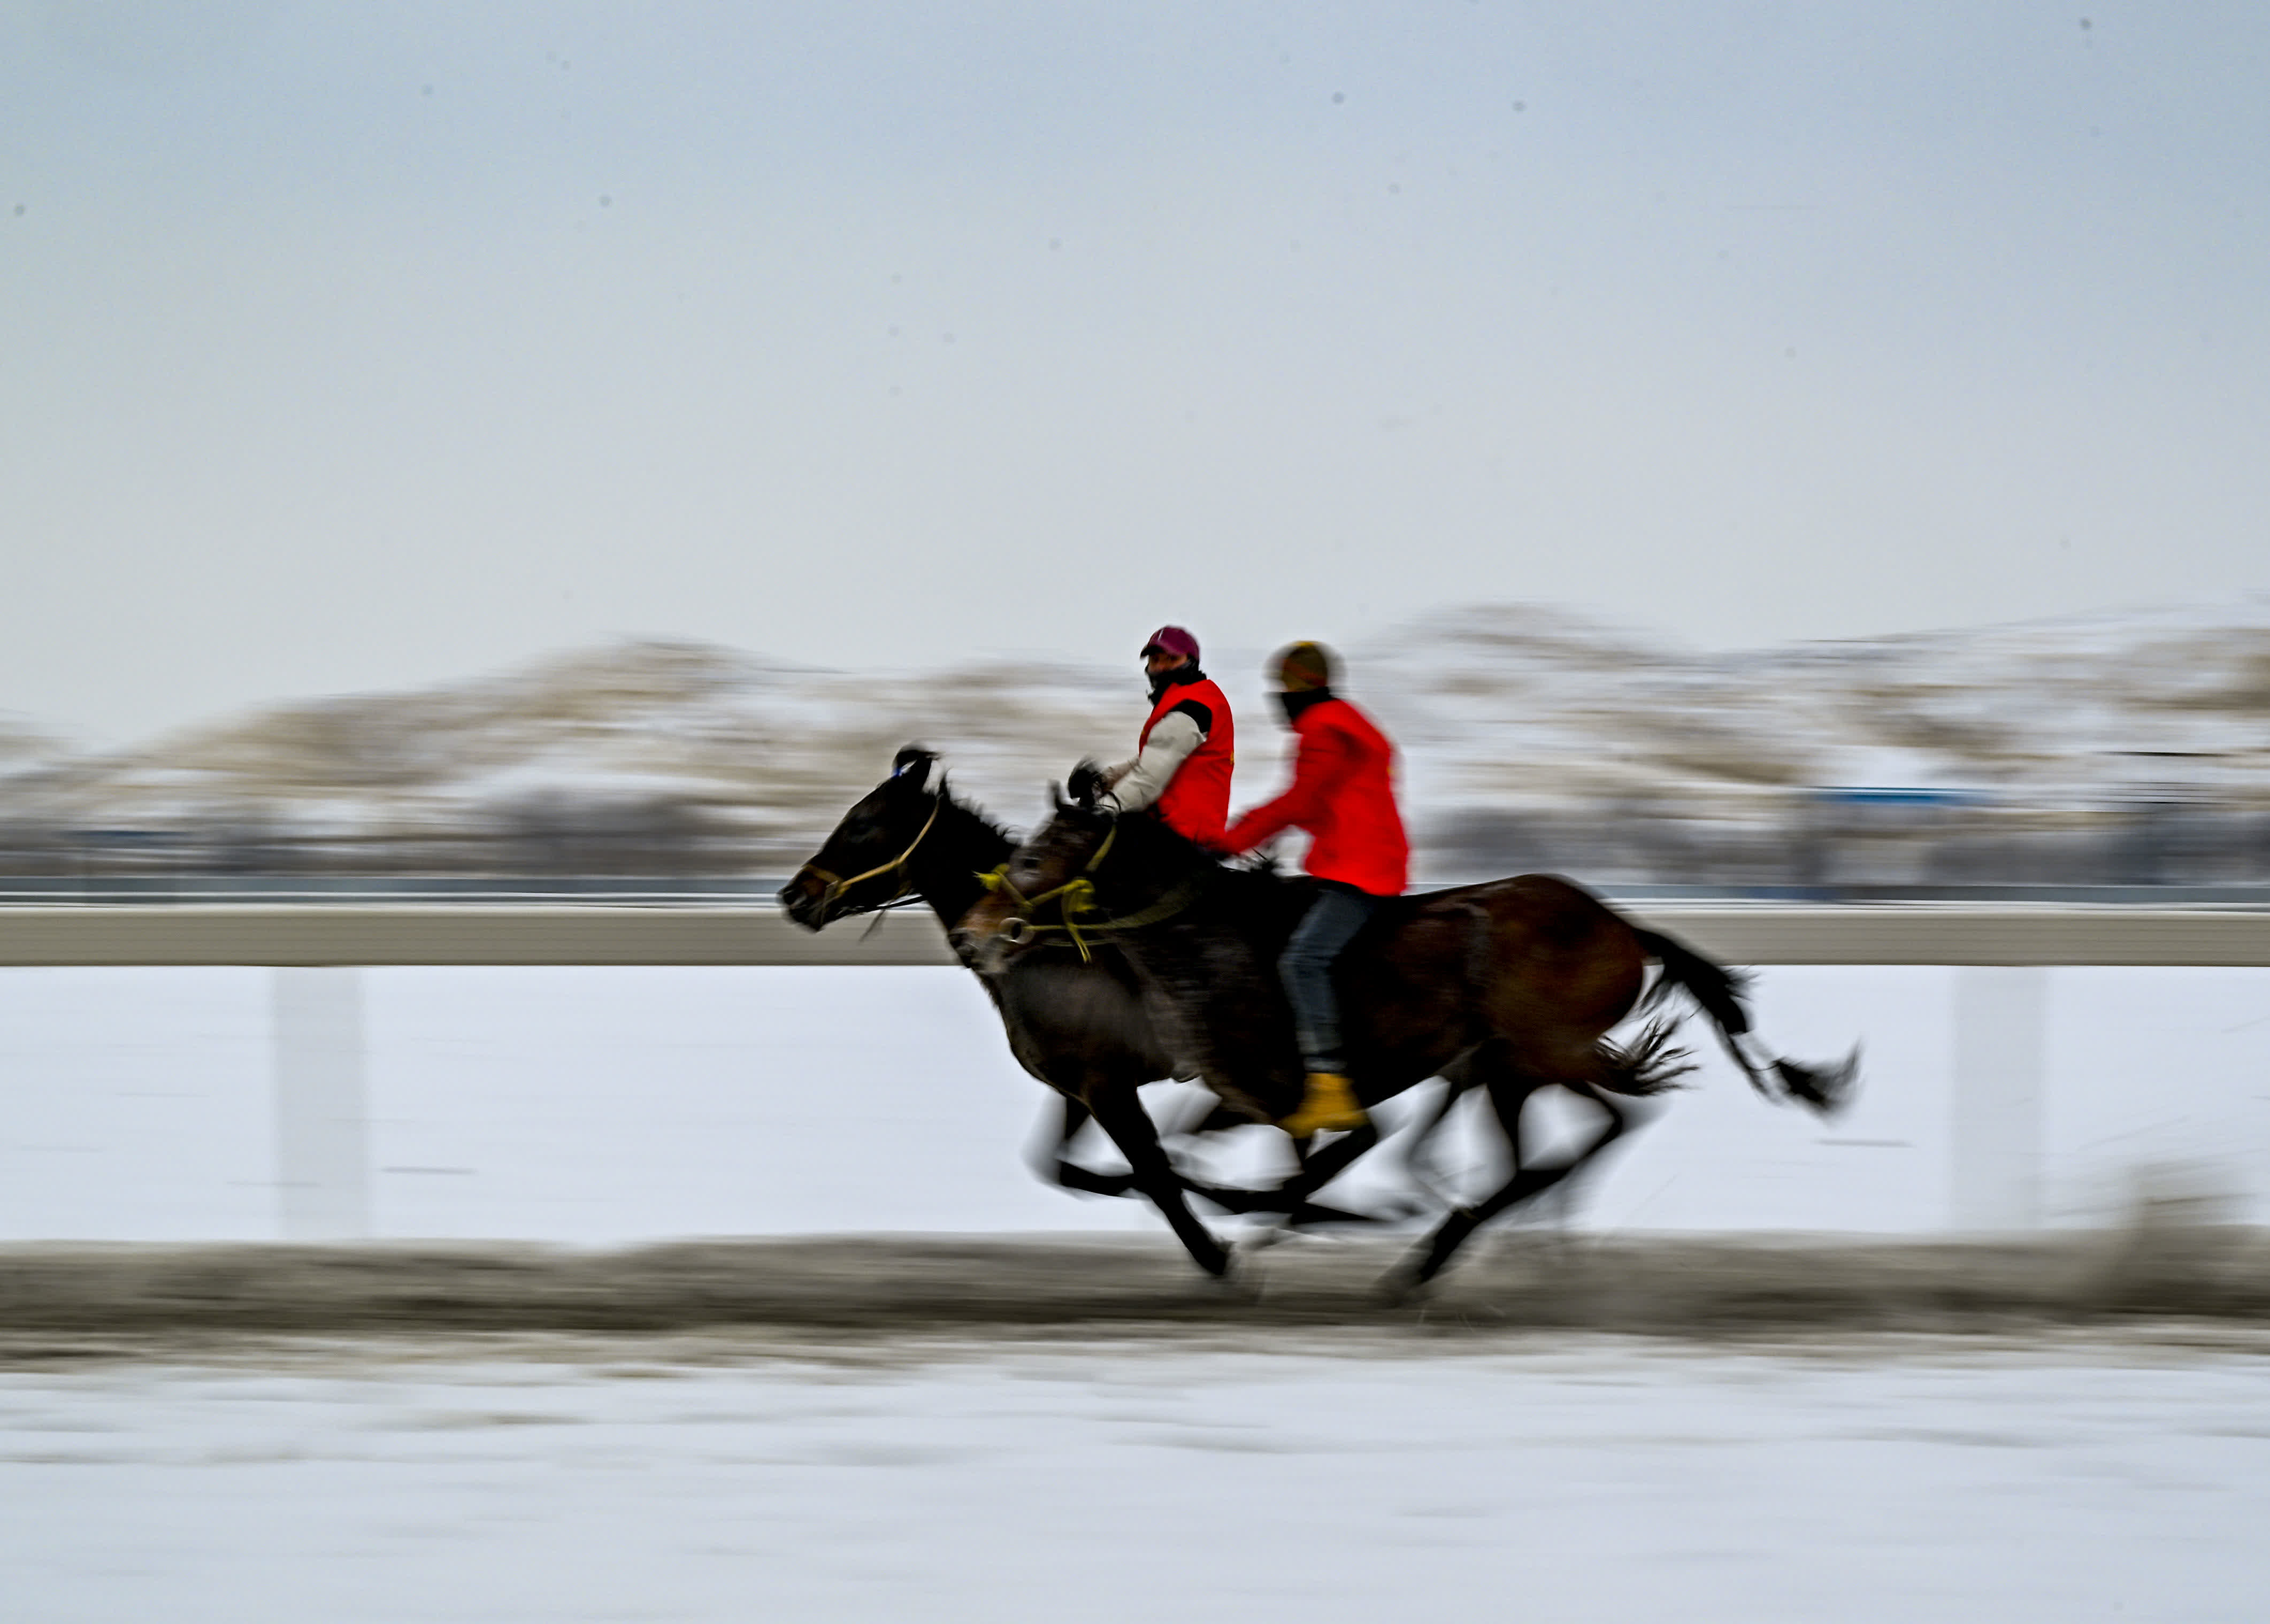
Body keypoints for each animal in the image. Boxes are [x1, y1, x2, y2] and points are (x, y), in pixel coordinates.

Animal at [957, 794, 1861, 1288]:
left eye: (1033, 859)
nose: (974, 933)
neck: (1207, 942)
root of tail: (1620, 924)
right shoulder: (1233, 1091)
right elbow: (1214, 1169)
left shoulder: (1310, 1089)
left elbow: (1282, 1172)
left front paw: (1272, 1234)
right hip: (1514, 1064)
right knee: (1560, 1144)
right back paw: (1460, 1244)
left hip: (1540, 1047)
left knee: (1606, 1124)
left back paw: (1434, 1250)